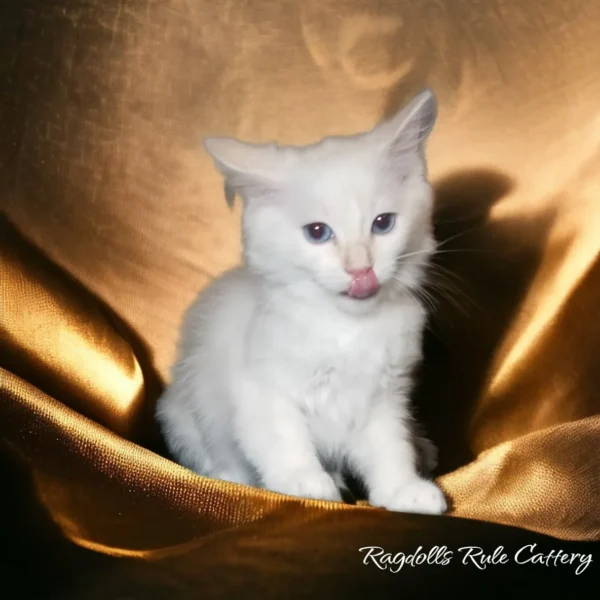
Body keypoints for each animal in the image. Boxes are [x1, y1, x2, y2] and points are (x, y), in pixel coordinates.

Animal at [157, 90, 448, 516]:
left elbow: (390, 447)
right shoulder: (262, 387)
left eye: (383, 224)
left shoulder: (385, 399)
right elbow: (284, 438)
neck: (348, 328)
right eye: (317, 233)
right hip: (185, 408)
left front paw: (402, 490)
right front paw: (307, 481)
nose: (361, 269)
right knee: (214, 452)